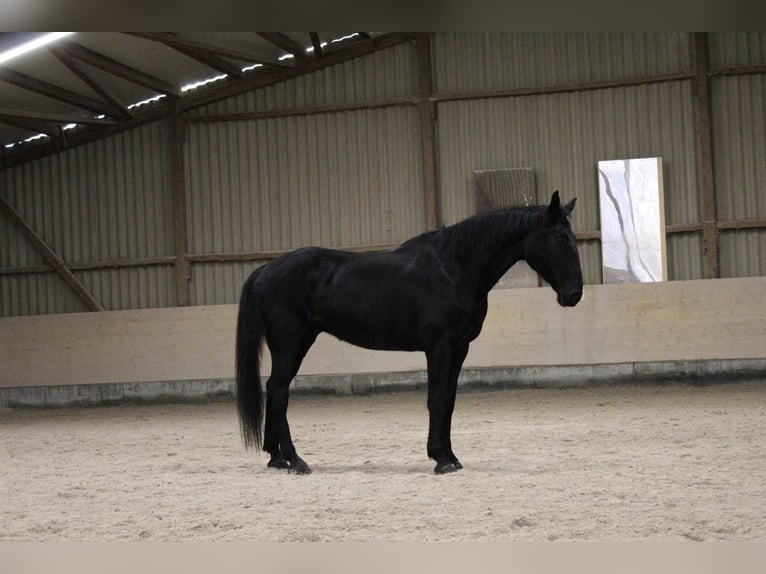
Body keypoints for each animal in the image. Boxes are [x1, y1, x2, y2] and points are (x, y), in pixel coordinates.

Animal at [235, 191, 583, 474]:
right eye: (560, 238)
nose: (574, 294)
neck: (454, 269)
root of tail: (265, 270)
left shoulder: (459, 349)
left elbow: (450, 401)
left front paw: (451, 456)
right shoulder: (438, 347)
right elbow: (436, 399)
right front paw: (441, 459)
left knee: (274, 389)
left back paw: (277, 458)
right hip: (290, 344)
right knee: (279, 391)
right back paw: (296, 460)